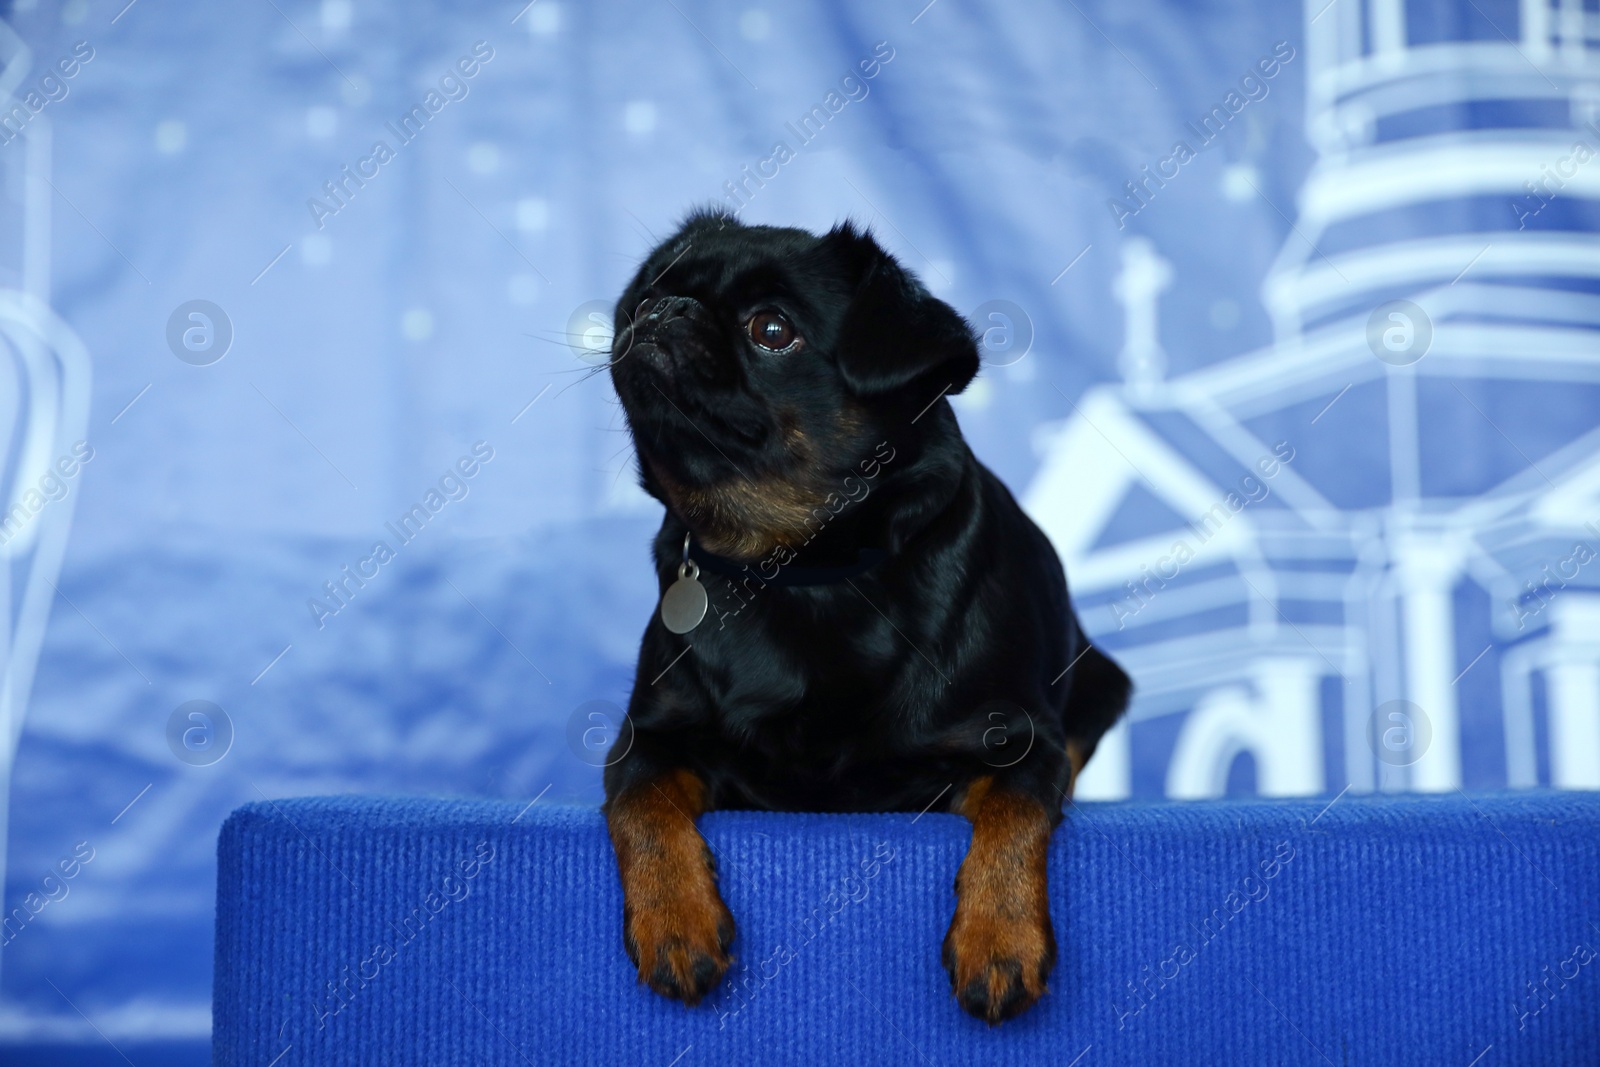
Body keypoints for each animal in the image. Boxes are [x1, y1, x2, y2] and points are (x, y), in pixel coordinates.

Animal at [601, 211, 1139, 1023]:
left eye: (772, 329)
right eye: (644, 297)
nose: (664, 310)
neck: (800, 568)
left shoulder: (1023, 744)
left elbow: (1013, 817)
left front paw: (999, 939)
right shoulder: (648, 738)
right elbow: (643, 805)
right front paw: (675, 921)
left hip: (1102, 680)